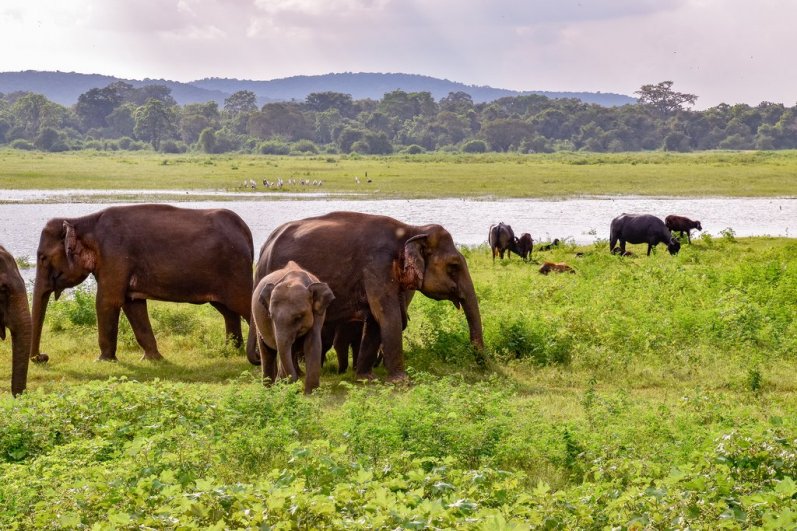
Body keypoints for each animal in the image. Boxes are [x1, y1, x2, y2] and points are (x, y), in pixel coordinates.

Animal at [30, 204, 254, 365]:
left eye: (42, 258)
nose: (42, 357)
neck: (82, 221)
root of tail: (246, 231)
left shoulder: (115, 254)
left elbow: (107, 301)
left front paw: (102, 361)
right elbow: (132, 305)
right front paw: (153, 359)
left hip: (236, 269)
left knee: (244, 305)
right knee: (227, 310)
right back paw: (231, 351)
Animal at [251, 261, 334, 393]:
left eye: (299, 317)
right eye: (270, 316)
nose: (294, 384)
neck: (295, 279)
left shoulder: (318, 315)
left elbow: (312, 343)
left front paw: (311, 393)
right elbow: (282, 347)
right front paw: (285, 386)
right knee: (267, 351)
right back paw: (268, 389)